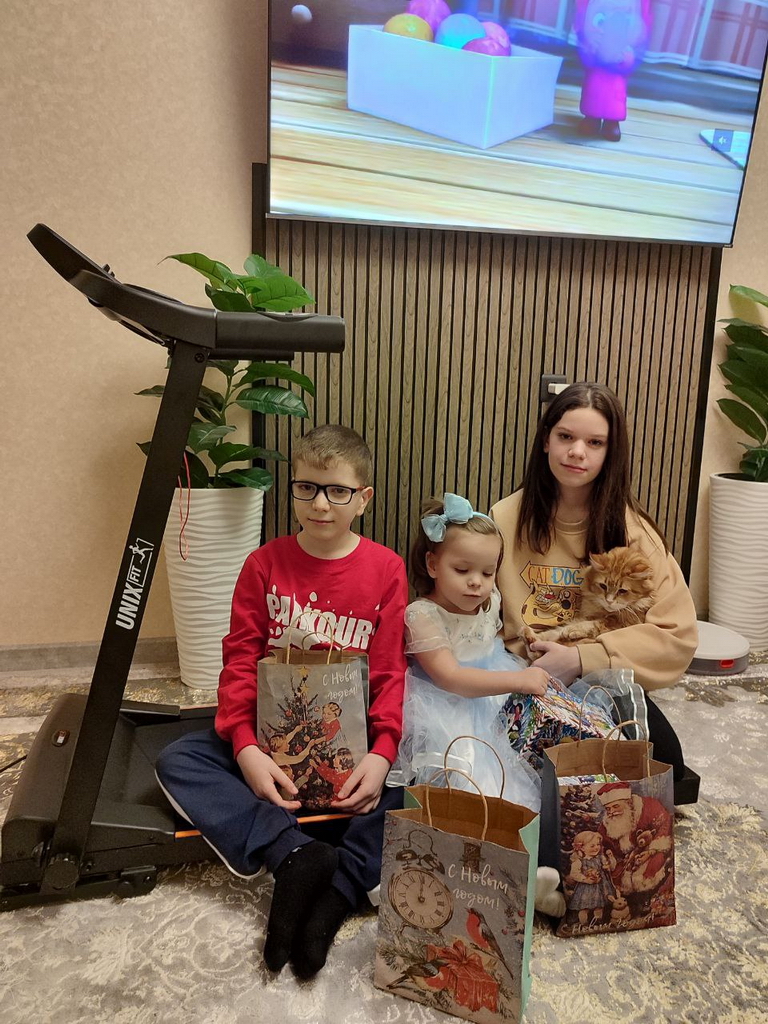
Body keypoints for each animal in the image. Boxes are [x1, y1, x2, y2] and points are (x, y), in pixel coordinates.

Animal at [521, 545, 654, 650]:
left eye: (622, 591)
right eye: (603, 586)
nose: (609, 601)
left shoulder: (623, 623)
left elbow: (593, 624)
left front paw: (571, 630)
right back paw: (528, 635)